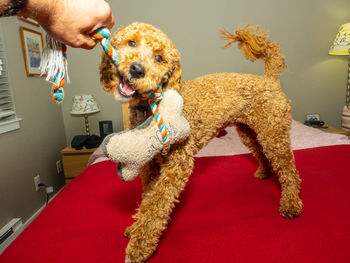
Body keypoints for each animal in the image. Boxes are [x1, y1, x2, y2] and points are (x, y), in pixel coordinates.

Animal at [100, 22, 302, 263]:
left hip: (274, 134)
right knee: (261, 152)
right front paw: (135, 226)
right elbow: (148, 197)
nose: (137, 69)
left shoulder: (177, 165)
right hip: (250, 132)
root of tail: (269, 79)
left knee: (289, 171)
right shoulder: (150, 165)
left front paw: (140, 245)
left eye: (159, 58)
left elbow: (156, 204)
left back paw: (290, 203)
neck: (151, 106)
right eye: (131, 43)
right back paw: (264, 171)